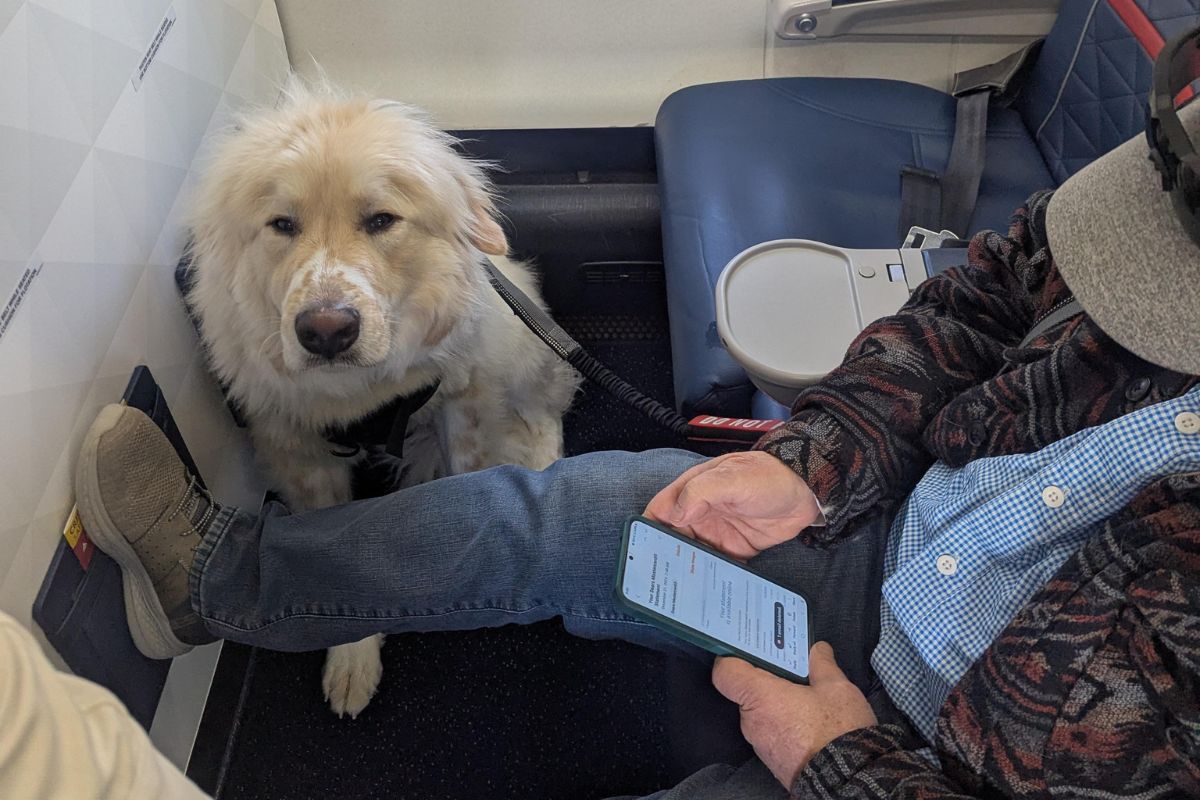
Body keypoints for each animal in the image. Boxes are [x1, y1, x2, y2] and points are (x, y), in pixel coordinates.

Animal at [184, 81, 578, 719]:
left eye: (381, 220)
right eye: (282, 224)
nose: (325, 331)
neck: (361, 394)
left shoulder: (463, 402)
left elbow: (465, 478)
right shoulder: (296, 447)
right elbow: (328, 560)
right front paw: (353, 658)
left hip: (521, 347)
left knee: (543, 417)